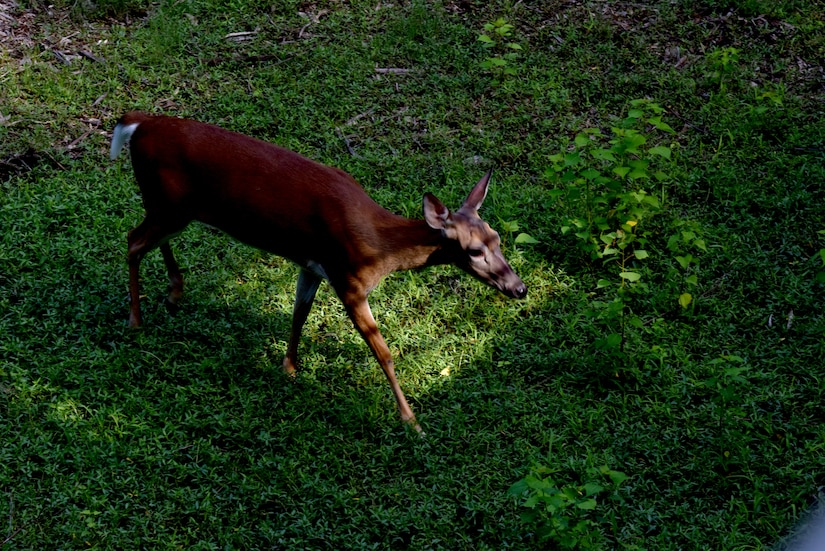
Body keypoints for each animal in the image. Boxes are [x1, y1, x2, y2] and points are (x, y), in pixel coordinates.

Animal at [109, 111, 524, 432]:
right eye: (474, 251)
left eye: (497, 238)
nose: (519, 288)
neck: (378, 243)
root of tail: (138, 123)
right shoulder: (349, 279)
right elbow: (384, 352)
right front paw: (411, 421)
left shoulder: (312, 266)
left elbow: (299, 314)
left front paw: (290, 368)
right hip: (169, 206)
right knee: (132, 240)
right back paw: (135, 319)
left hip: (172, 208)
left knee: (145, 238)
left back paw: (174, 291)